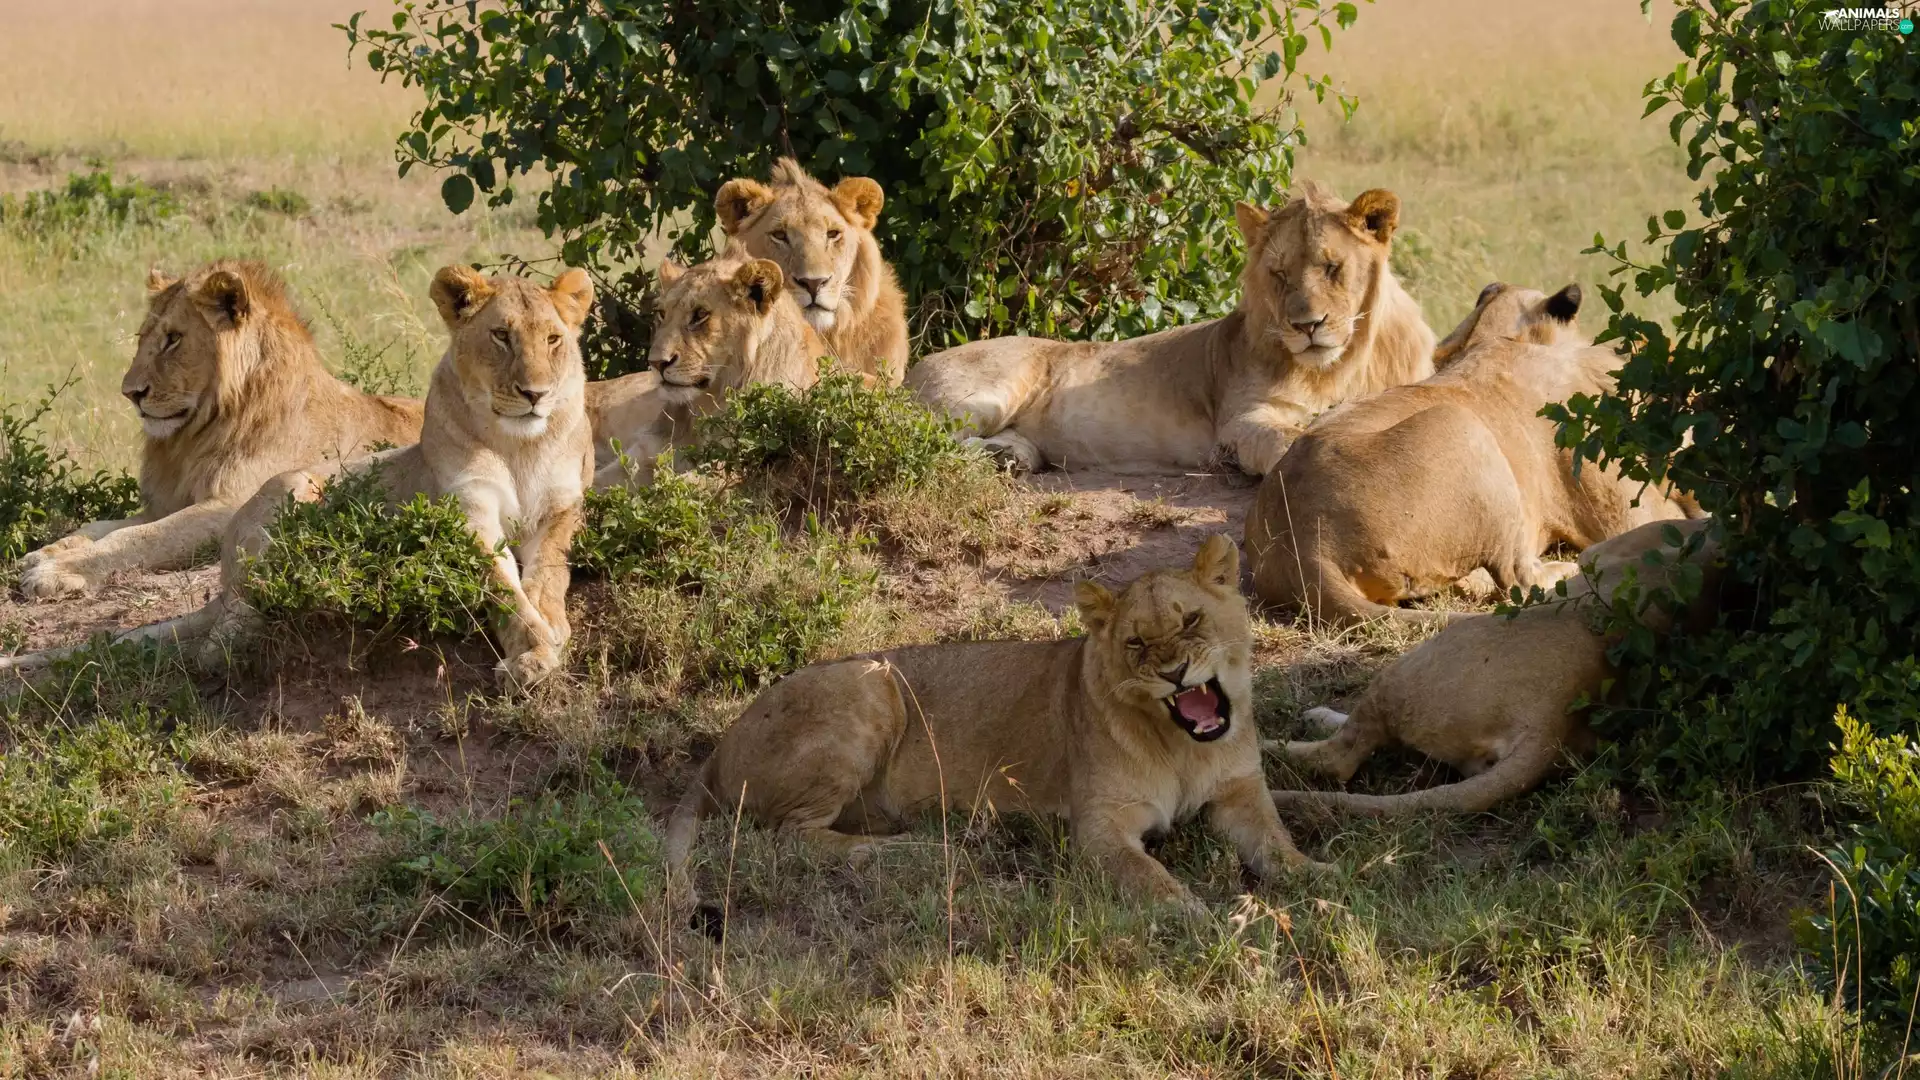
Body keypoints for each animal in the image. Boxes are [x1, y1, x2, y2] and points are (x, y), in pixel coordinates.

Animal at [16, 261, 423, 599]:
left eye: (173, 339)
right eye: (142, 337)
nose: (130, 392)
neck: (192, 438)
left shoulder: (232, 504)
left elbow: (137, 538)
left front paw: (57, 570)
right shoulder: (169, 501)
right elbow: (101, 526)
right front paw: (44, 553)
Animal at [585, 251, 823, 488]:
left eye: (700, 314)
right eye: (662, 313)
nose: (656, 363)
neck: (704, 407)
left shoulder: (737, 466)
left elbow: (682, 484)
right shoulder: (643, 454)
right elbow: (593, 485)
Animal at [664, 534, 1321, 918]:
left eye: (1190, 620)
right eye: (1135, 642)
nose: (1175, 672)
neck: (1187, 749)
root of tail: (720, 744)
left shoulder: (1239, 794)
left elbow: (1276, 843)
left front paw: (1319, 879)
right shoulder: (1099, 826)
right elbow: (1146, 872)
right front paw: (1192, 911)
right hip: (872, 683)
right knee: (788, 836)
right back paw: (908, 850)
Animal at [903, 181, 1436, 476]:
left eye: (1331, 268)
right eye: (1280, 274)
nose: (1307, 325)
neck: (1344, 364)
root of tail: (911, 368)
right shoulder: (1240, 421)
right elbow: (1288, 440)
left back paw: (1009, 458)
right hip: (986, 394)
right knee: (917, 438)